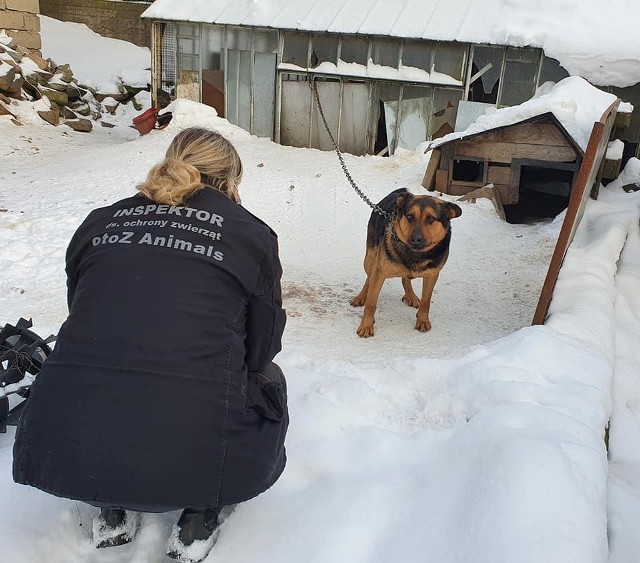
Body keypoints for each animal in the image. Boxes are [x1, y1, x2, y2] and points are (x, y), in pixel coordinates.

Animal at [350, 189, 460, 338]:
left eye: (430, 219)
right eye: (410, 217)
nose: (415, 239)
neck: (415, 254)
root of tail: (397, 192)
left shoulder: (432, 275)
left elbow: (426, 301)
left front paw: (422, 320)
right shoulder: (380, 272)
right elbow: (371, 303)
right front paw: (366, 325)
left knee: (405, 278)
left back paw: (410, 295)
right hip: (370, 258)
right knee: (369, 276)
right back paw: (361, 297)